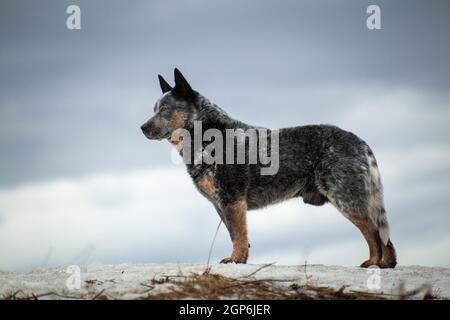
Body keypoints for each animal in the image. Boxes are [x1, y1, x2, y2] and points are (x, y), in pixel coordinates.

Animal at [142, 67, 398, 268]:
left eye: (164, 110)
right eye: (154, 109)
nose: (142, 127)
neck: (207, 138)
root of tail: (359, 141)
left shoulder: (232, 199)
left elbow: (239, 235)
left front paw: (235, 260)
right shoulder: (220, 205)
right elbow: (236, 235)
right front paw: (241, 260)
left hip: (346, 198)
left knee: (374, 232)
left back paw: (374, 262)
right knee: (384, 237)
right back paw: (386, 264)